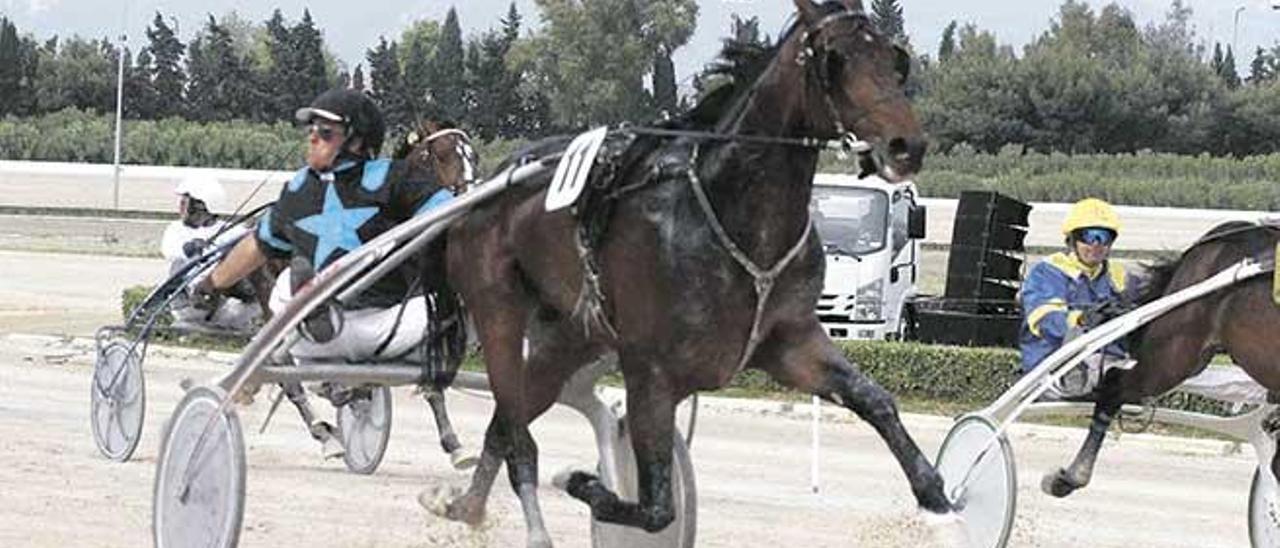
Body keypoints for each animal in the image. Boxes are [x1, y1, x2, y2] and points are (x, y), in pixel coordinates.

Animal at [430, 2, 962, 545]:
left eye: (894, 60)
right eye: (835, 59)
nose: (907, 145)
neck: (734, 216)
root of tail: (493, 181)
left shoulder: (790, 340)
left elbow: (875, 400)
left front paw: (937, 499)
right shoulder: (650, 370)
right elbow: (656, 508)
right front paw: (578, 480)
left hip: (569, 336)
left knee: (505, 420)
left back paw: (466, 506)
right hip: (498, 307)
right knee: (513, 419)